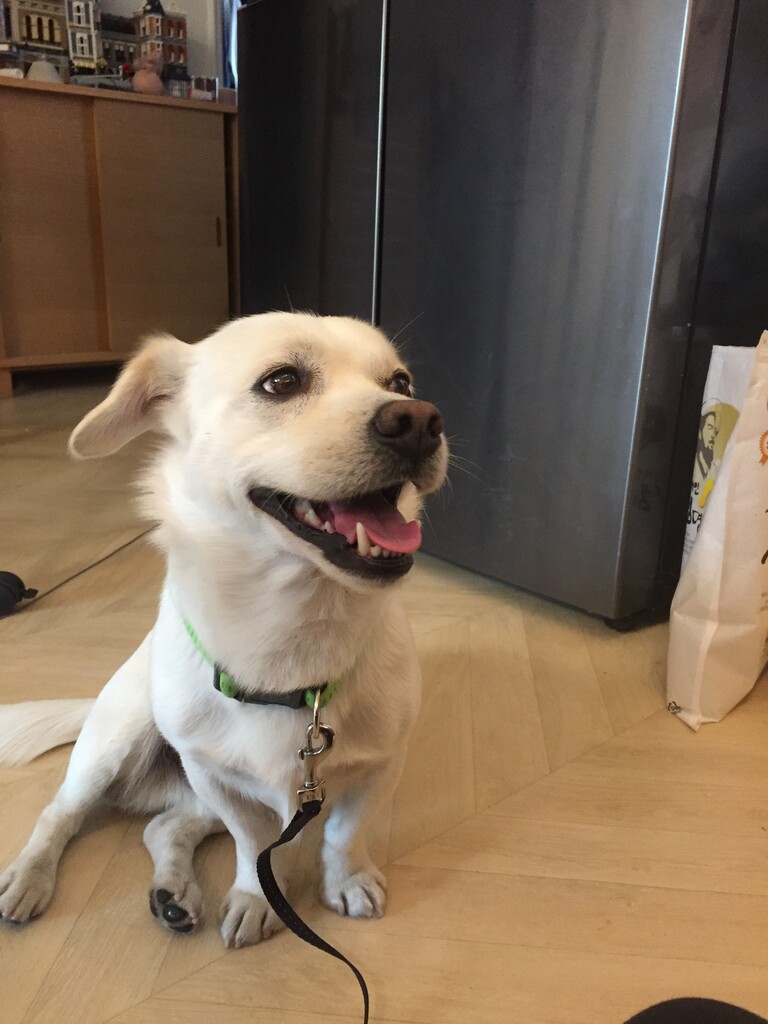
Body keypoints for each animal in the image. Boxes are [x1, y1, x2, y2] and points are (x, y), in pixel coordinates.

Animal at [0, 312, 447, 947]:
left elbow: (343, 834)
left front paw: (347, 880)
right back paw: (31, 876)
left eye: (401, 382)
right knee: (61, 812)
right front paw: (259, 896)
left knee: (164, 826)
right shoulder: (217, 778)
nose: (420, 420)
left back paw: (174, 895)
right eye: (281, 382)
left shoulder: (379, 765)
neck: (292, 636)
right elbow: (253, 845)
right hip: (115, 742)